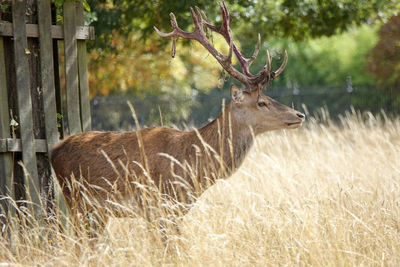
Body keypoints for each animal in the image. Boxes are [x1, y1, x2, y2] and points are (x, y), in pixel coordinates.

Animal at [50, 1, 306, 229]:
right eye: (262, 102)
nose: (299, 114)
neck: (193, 167)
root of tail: (54, 150)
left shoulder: (176, 208)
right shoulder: (160, 205)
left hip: (95, 212)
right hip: (77, 200)